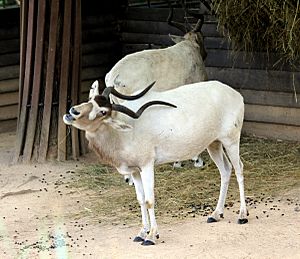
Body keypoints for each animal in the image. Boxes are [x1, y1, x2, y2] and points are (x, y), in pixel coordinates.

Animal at [63, 81, 248, 248]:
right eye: (91, 99)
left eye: (102, 112)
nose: (73, 111)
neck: (124, 131)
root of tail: (236, 95)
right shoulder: (135, 171)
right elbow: (141, 199)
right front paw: (141, 232)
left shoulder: (147, 166)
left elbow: (150, 200)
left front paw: (151, 236)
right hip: (213, 144)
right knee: (225, 170)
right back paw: (216, 214)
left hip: (231, 141)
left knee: (239, 169)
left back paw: (242, 215)